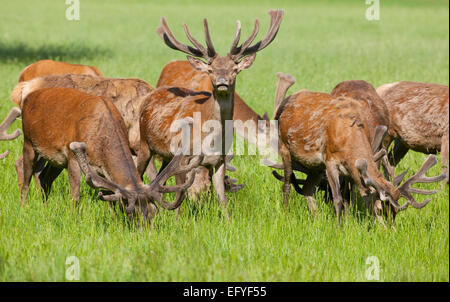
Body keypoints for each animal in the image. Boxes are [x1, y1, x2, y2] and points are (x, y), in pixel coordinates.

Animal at [19, 86, 199, 221]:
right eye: (132, 213)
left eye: (154, 213)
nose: (146, 233)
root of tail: (28, 97)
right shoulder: (72, 157)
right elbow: (75, 196)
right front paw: (73, 218)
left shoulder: (101, 169)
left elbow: (109, 196)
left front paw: (113, 218)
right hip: (28, 141)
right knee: (25, 180)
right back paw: (23, 208)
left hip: (57, 160)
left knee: (45, 178)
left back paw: (45, 207)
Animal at [138, 9, 284, 205]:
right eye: (211, 69)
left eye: (234, 70)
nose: (222, 81)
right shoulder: (184, 156)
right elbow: (180, 198)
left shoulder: (219, 160)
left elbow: (222, 198)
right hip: (144, 145)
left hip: (166, 156)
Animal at [272, 73, 444, 224]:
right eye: (380, 210)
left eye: (395, 213)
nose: (390, 230)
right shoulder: (330, 161)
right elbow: (338, 198)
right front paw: (339, 226)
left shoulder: (349, 170)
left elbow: (348, 196)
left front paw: (348, 223)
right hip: (284, 147)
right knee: (286, 184)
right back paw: (285, 215)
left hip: (315, 166)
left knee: (307, 189)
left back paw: (317, 219)